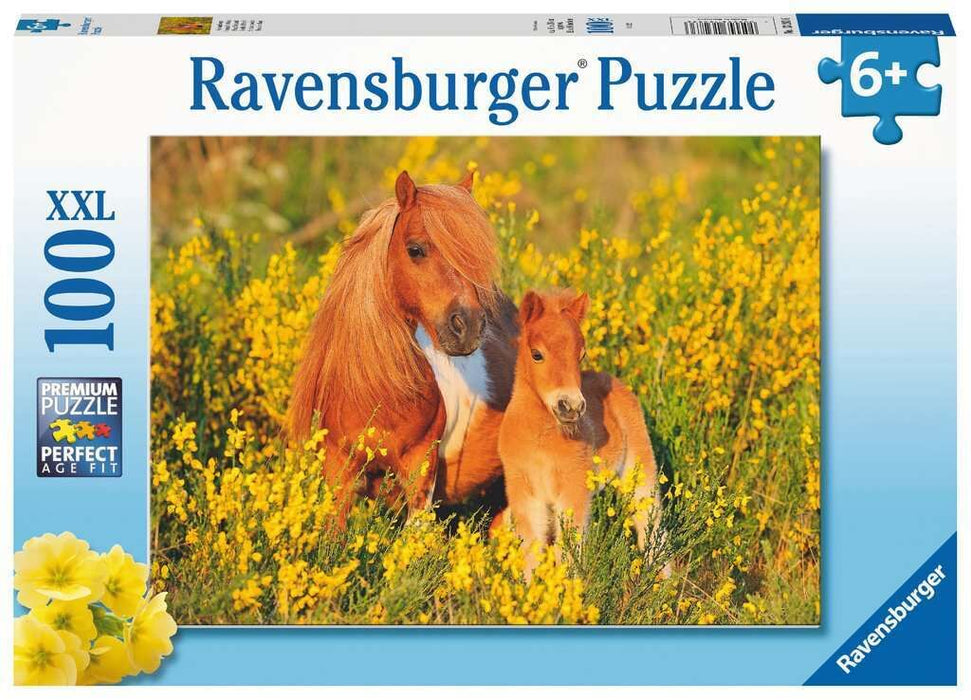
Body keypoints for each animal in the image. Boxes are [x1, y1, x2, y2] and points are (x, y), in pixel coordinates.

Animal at [497, 289, 662, 572]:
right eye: (536, 354)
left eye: (581, 355)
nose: (571, 406)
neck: (540, 441)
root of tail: (612, 379)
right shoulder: (525, 494)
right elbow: (531, 551)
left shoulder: (572, 490)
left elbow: (569, 552)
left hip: (639, 466)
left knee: (650, 522)